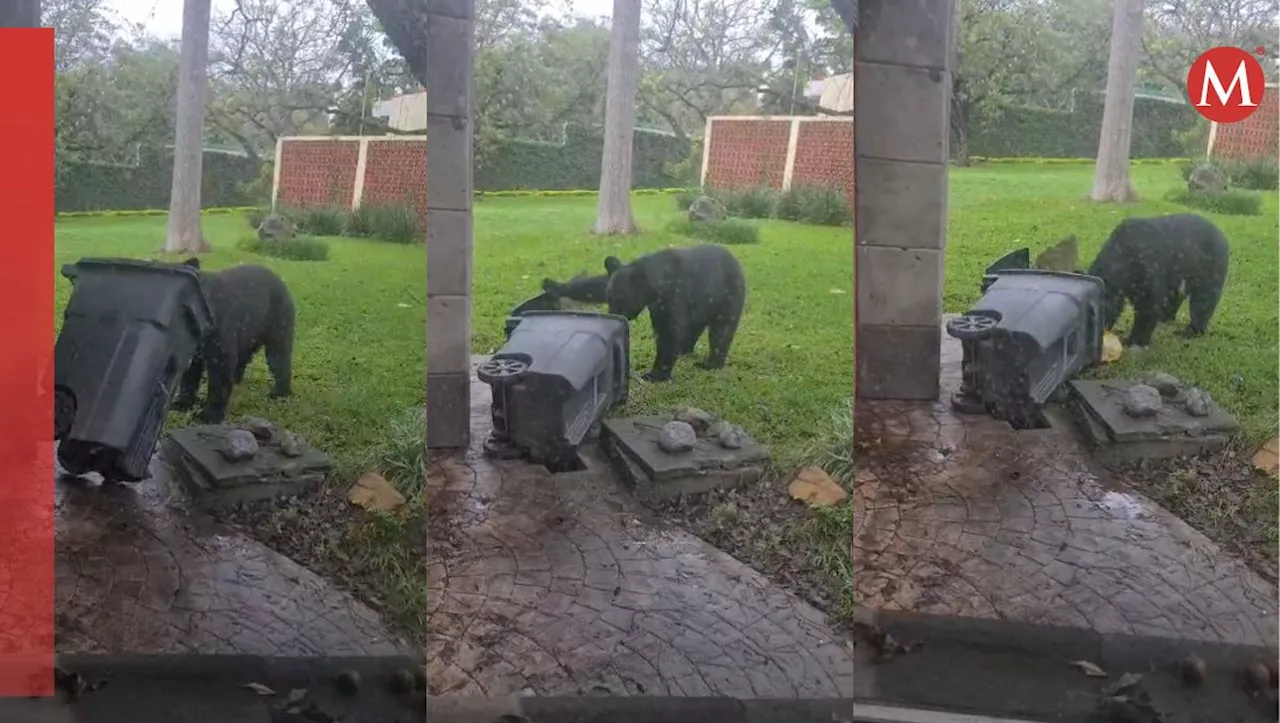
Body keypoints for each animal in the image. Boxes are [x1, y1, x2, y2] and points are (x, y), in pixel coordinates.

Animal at [171, 258, 295, 422]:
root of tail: (280, 281)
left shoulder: (220, 355)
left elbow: (218, 385)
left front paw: (210, 415)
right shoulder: (193, 356)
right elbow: (188, 380)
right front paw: (182, 403)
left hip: (277, 337)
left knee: (281, 364)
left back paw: (279, 393)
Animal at [601, 244, 747, 383]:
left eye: (619, 299)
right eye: (609, 298)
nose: (613, 316)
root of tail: (736, 261)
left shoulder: (675, 295)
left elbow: (670, 332)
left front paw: (655, 375)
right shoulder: (657, 306)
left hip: (728, 298)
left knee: (722, 330)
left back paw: (711, 363)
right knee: (695, 328)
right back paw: (684, 350)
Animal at [1090, 212, 1228, 348]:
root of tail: (1222, 234)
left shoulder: (1148, 275)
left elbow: (1147, 309)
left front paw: (1134, 342)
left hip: (1212, 269)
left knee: (1202, 303)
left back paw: (1189, 332)